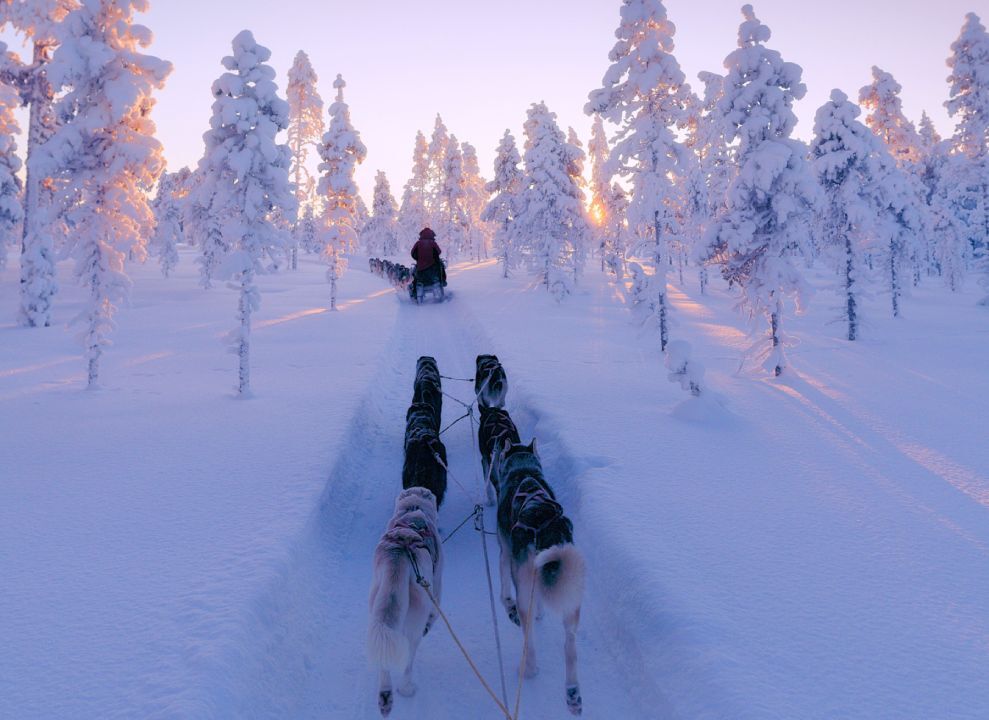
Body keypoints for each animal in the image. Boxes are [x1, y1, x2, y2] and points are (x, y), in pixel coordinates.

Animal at [368, 486, 442, 716]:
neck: (414, 509)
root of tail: (399, 555)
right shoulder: (437, 588)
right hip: (414, 624)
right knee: (409, 660)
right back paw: (407, 688)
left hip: (378, 607)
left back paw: (385, 696)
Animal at [492, 438, 584, 716]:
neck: (523, 469)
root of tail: (544, 523)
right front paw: (543, 612)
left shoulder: (504, 554)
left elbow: (504, 589)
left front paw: (507, 604)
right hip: (572, 595)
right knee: (570, 646)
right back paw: (572, 693)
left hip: (523, 589)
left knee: (528, 635)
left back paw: (528, 669)